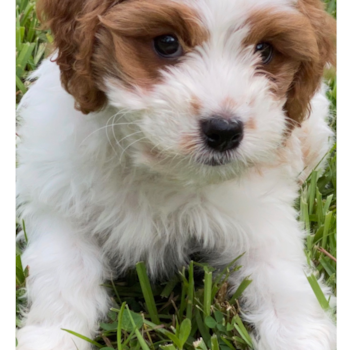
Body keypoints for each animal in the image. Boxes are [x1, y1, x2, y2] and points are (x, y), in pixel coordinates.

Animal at [16, 0, 336, 350]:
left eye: (264, 50)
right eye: (167, 43)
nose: (224, 131)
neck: (156, 165)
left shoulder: (259, 216)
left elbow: (284, 282)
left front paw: (300, 335)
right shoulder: (60, 201)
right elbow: (62, 276)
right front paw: (50, 336)